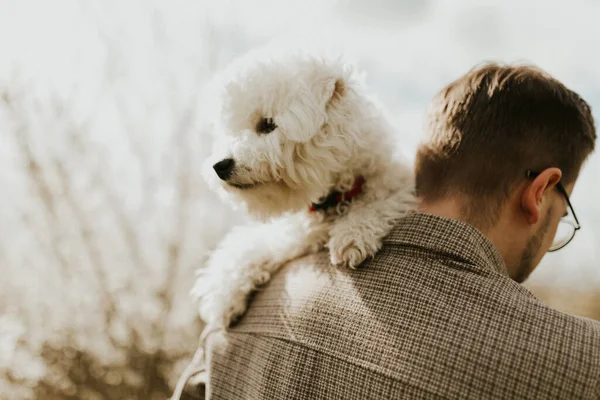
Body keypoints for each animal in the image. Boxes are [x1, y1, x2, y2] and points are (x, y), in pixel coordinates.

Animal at [193, 47, 418, 332]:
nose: (219, 165)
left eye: (268, 124)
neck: (335, 198)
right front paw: (225, 293)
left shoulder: (402, 186)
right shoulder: (296, 235)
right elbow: (252, 246)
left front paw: (354, 231)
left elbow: (383, 200)